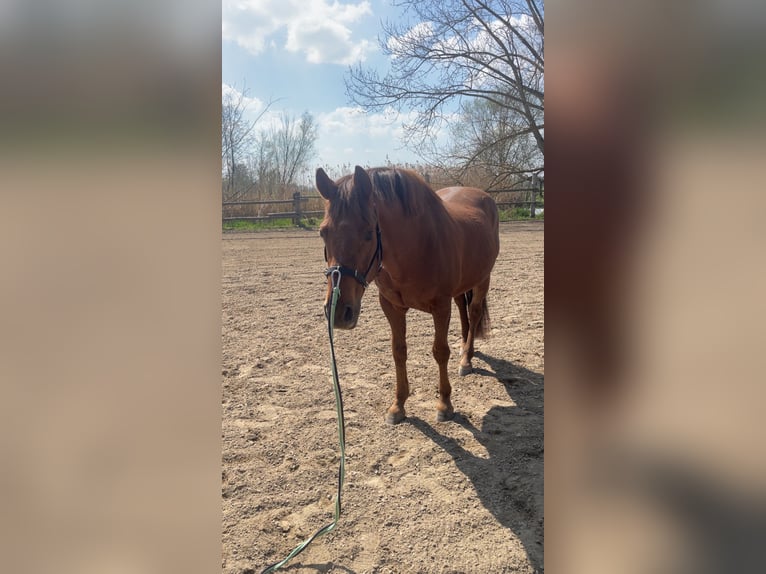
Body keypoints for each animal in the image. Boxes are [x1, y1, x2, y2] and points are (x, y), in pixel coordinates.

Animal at [316, 165, 500, 425]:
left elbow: (440, 352)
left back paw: (466, 359)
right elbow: (398, 352)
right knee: (463, 311)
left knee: (473, 313)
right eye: (323, 233)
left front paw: (444, 404)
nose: (340, 312)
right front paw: (398, 405)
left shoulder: (440, 307)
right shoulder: (391, 307)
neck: (417, 245)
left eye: (368, 233)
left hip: (483, 279)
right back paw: (465, 347)